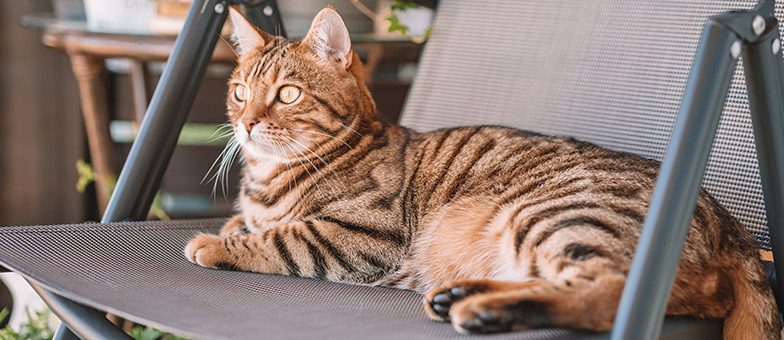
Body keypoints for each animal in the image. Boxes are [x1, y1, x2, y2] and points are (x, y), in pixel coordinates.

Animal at [185, 7, 784, 338]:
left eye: (287, 94)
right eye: (239, 92)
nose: (246, 123)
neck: (268, 180)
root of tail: (731, 225)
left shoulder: (362, 238)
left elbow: (280, 238)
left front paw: (215, 243)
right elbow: (249, 224)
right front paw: (232, 227)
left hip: (556, 215)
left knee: (608, 291)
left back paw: (481, 311)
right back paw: (462, 295)